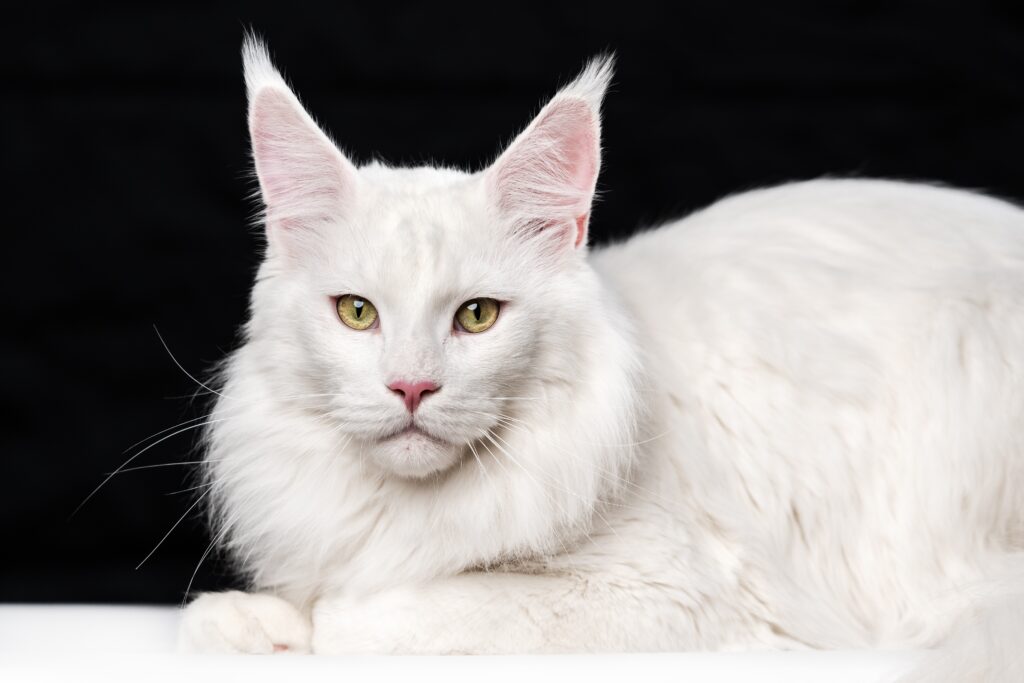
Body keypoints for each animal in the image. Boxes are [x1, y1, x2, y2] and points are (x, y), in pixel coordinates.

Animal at [180, 37, 1024, 671]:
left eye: (477, 316)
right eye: (357, 313)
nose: (412, 387)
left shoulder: (680, 594)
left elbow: (380, 615)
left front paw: (315, 622)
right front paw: (253, 622)